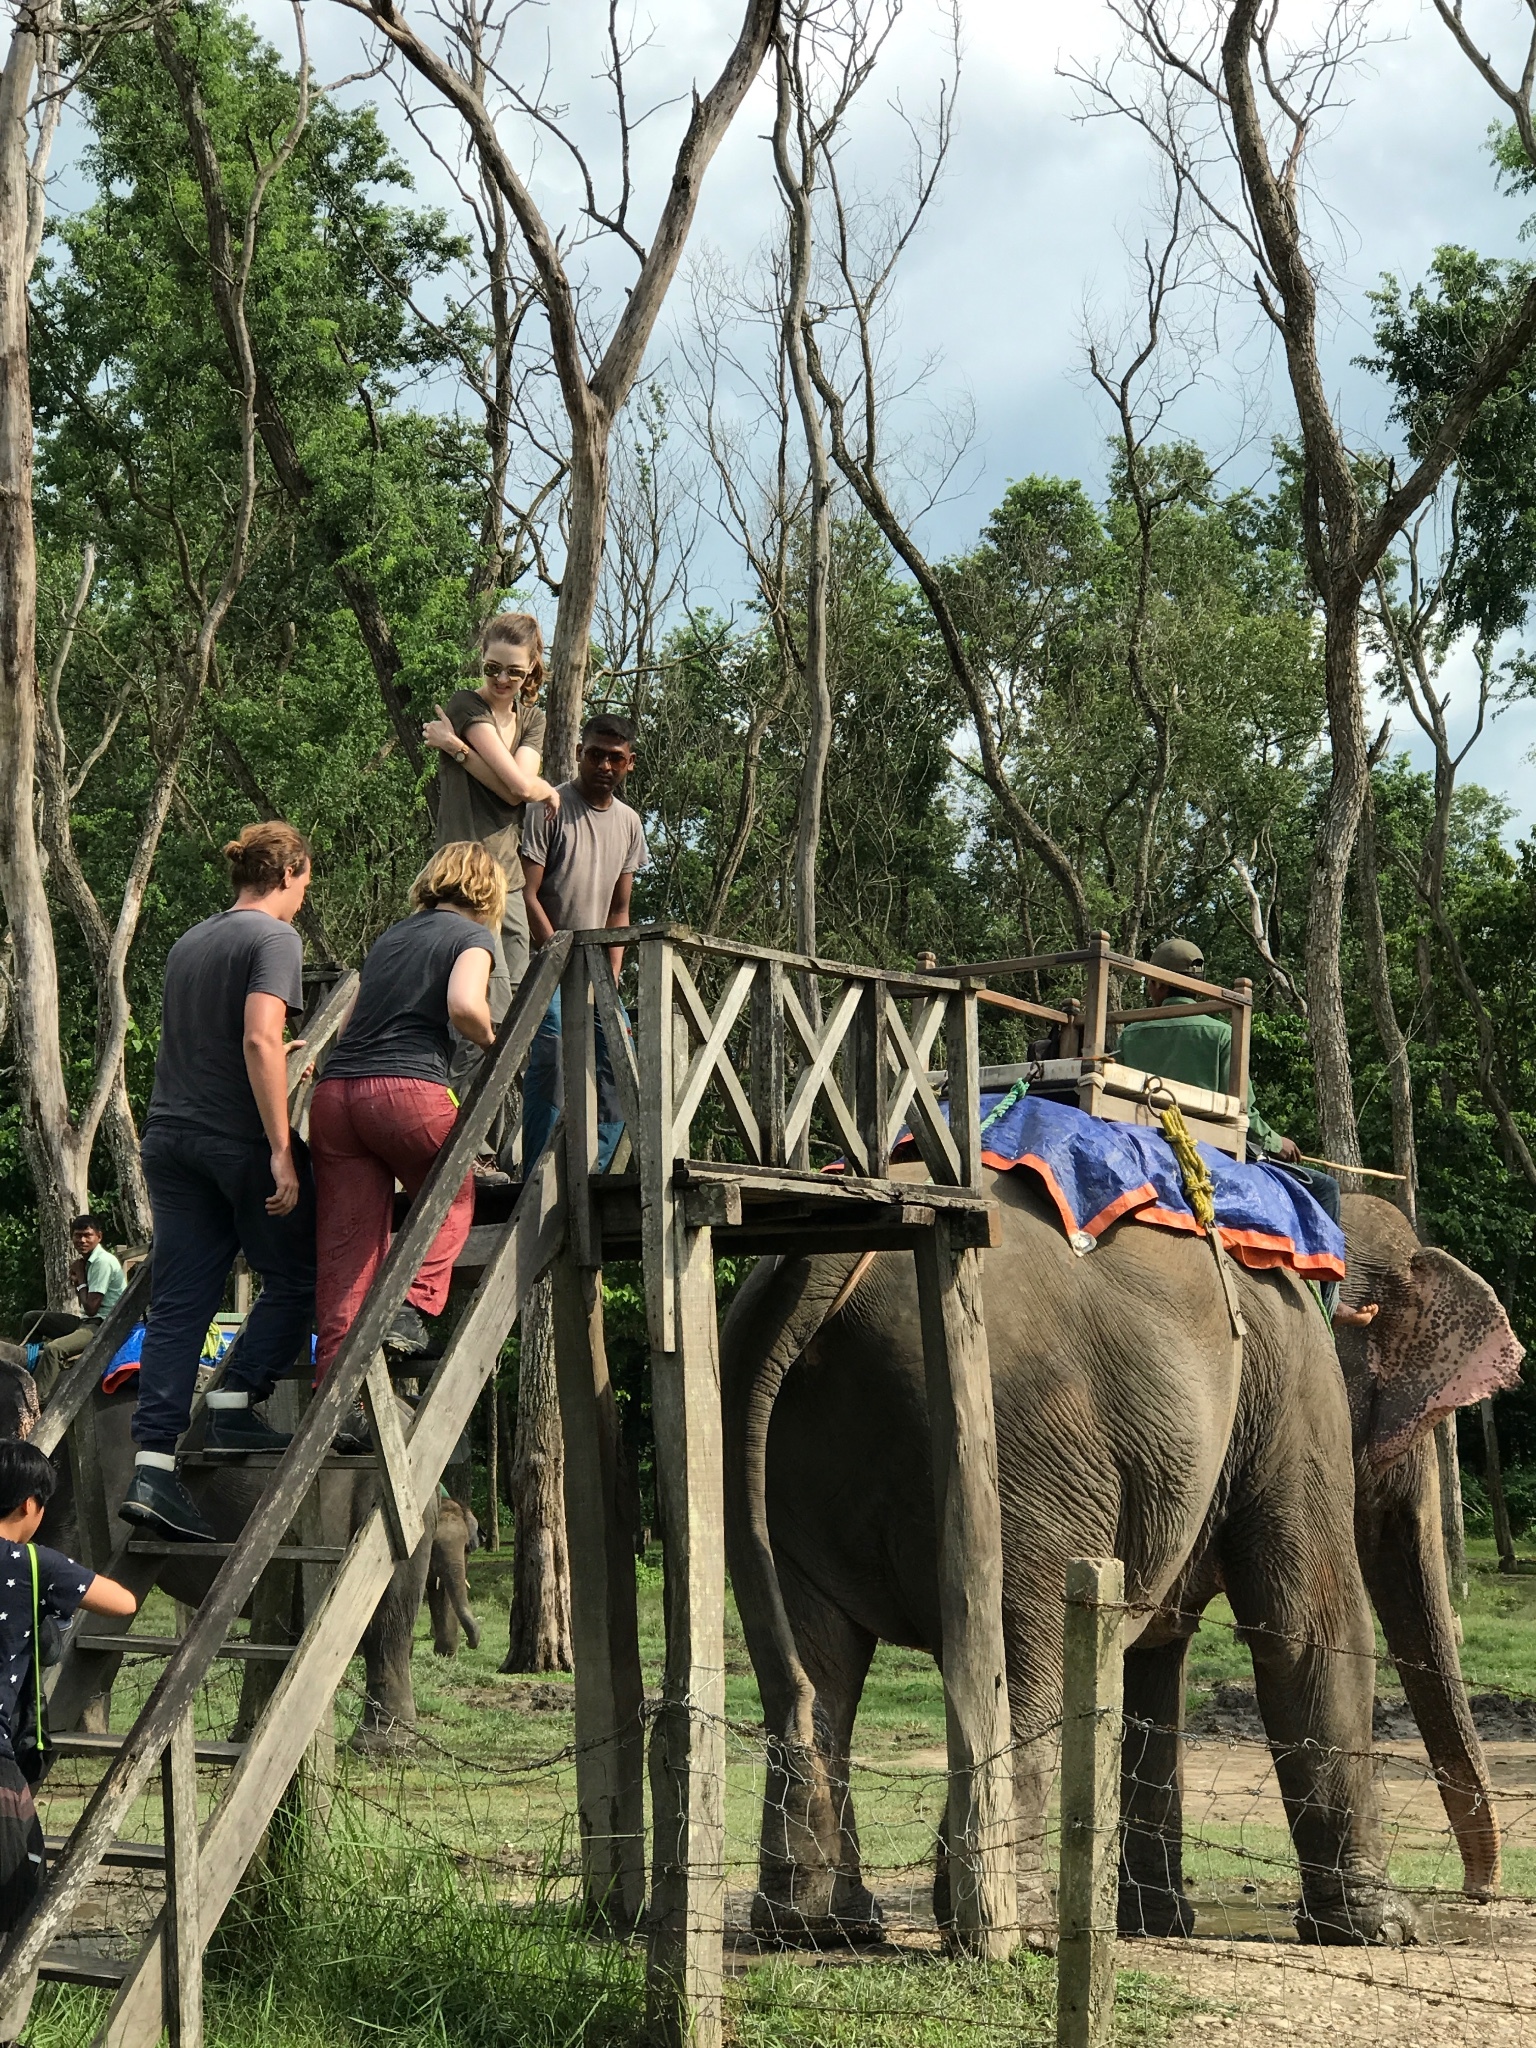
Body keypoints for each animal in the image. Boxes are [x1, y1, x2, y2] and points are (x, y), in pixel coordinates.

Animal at [724, 1171, 1531, 1949]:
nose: (1479, 1894)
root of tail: (823, 1261)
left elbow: (1157, 1649)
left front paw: (1157, 1922)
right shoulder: (1294, 1373)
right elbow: (1308, 1624)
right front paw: (1385, 1929)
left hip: (783, 1458)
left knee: (814, 1669)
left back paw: (821, 1925)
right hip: (1020, 1463)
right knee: (1022, 1664)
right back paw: (1018, 1930)